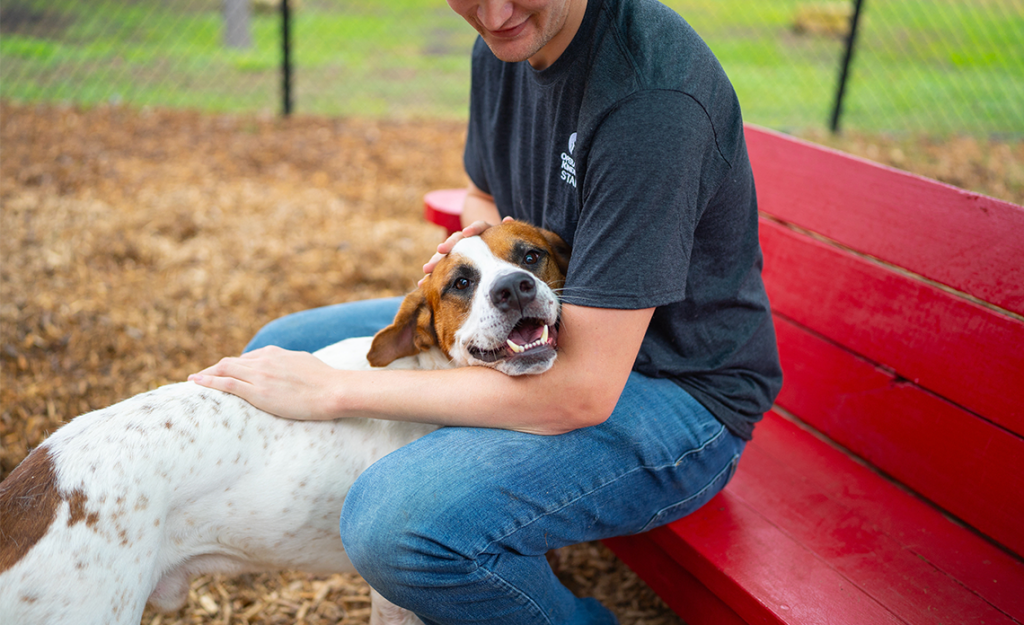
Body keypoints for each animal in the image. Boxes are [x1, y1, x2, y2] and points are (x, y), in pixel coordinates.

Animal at [0, 219, 569, 622]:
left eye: (531, 256)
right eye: (460, 283)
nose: (516, 288)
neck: (428, 373)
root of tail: (32, 488)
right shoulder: (393, 602)